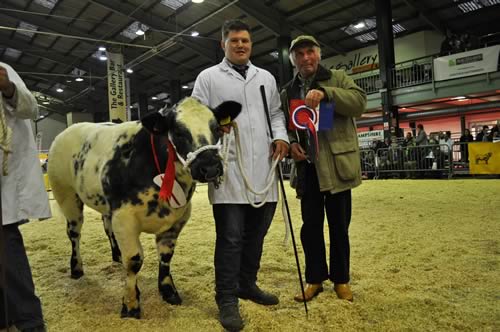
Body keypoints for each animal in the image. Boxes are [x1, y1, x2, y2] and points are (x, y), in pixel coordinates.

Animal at [47, 96, 241, 320]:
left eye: (217, 128)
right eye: (178, 132)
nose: (210, 167)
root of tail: (69, 129)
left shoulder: (178, 218)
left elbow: (166, 256)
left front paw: (168, 291)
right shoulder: (124, 217)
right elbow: (134, 261)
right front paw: (131, 304)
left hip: (105, 205)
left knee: (107, 227)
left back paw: (116, 255)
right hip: (67, 195)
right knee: (74, 233)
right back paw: (77, 268)